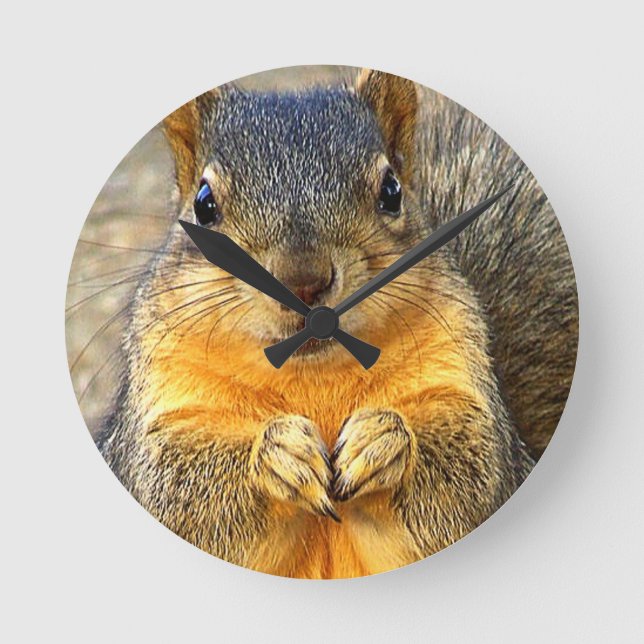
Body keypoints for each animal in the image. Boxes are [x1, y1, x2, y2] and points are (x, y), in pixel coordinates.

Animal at [97, 68, 578, 578]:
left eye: (392, 191)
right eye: (204, 204)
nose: (304, 281)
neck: (313, 374)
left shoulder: (464, 388)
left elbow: (472, 475)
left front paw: (384, 441)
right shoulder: (162, 414)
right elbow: (175, 488)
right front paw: (277, 454)